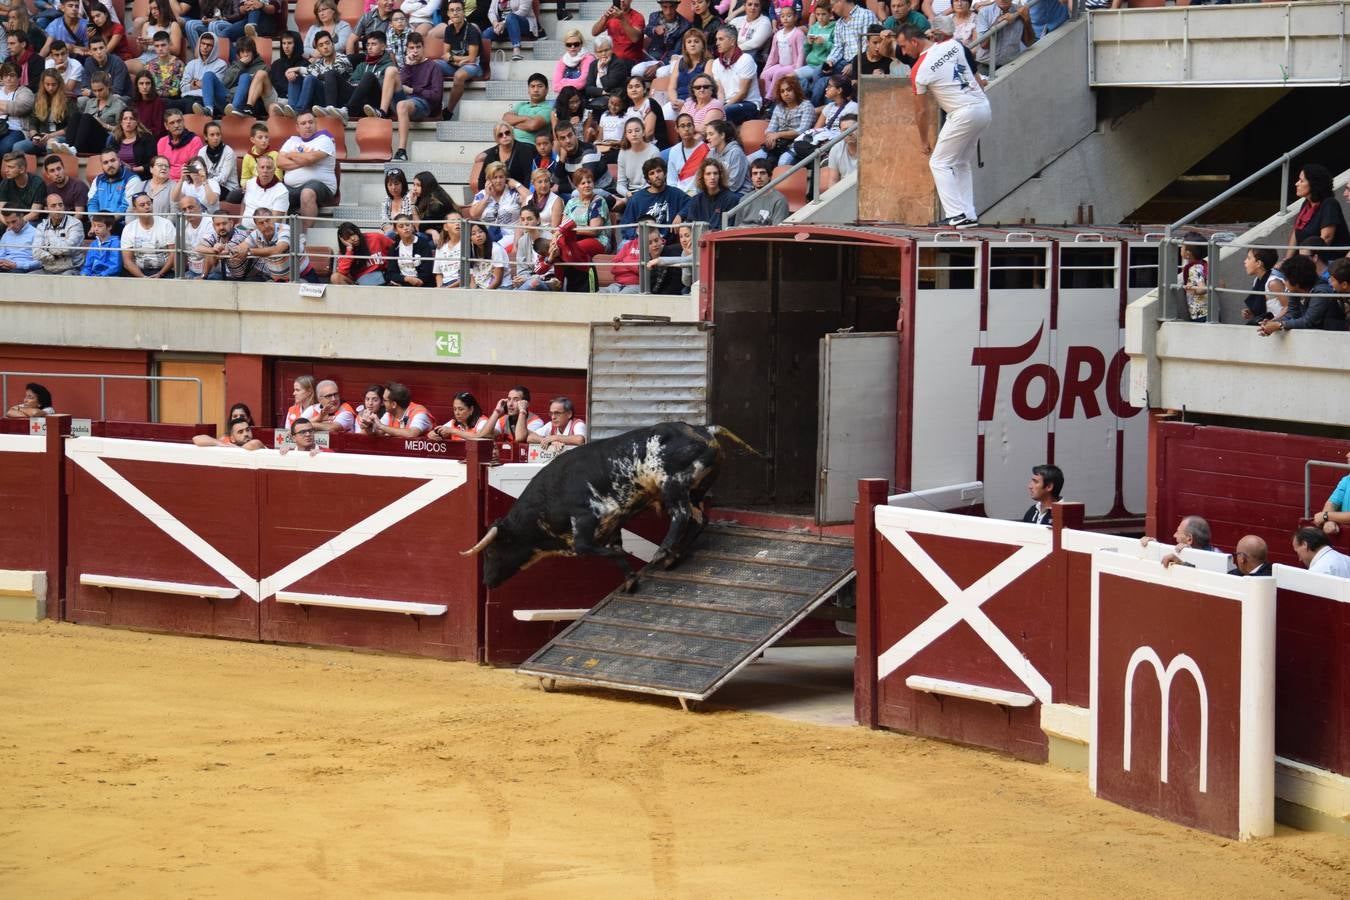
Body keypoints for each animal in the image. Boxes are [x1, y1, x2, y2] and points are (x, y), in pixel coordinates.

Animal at [459, 423, 756, 591]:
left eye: (491, 551)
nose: (486, 582)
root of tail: (704, 430)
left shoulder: (584, 521)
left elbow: (592, 549)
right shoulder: (613, 523)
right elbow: (614, 550)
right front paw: (629, 579)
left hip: (672, 485)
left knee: (682, 516)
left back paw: (663, 551)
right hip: (693, 491)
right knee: (699, 519)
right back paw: (673, 555)